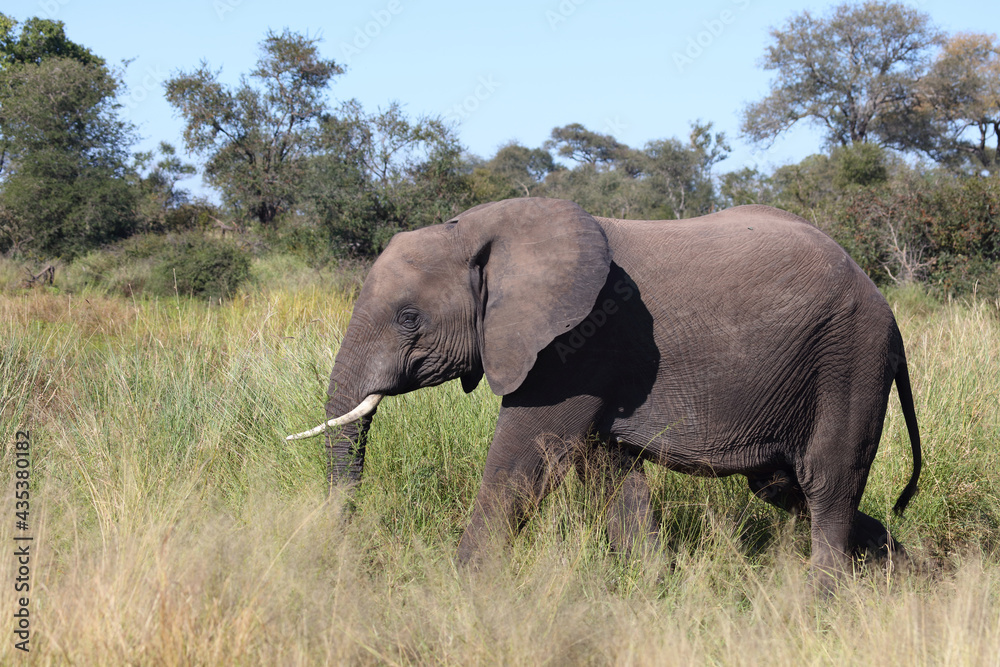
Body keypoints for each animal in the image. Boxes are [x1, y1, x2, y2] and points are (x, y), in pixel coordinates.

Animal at [287, 197, 921, 584]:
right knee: (786, 487)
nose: (341, 550)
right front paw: (654, 589)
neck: (479, 231)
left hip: (849, 360)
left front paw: (462, 588)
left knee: (828, 483)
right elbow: (608, 474)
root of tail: (884, 304)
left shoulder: (577, 343)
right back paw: (904, 574)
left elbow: (526, 457)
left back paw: (820, 603)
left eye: (409, 319)